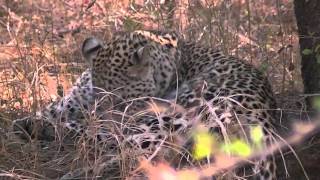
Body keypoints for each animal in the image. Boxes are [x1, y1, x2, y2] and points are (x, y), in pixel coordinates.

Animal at [11, 30, 278, 179]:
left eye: (123, 102)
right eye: (103, 100)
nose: (108, 116)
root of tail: (263, 122)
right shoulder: (76, 99)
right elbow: (55, 109)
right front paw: (27, 122)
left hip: (164, 121)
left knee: (128, 150)